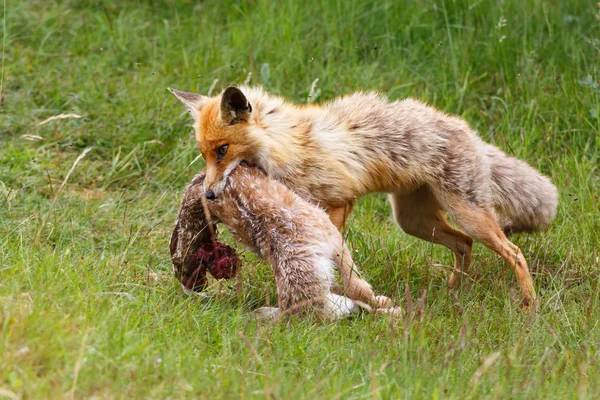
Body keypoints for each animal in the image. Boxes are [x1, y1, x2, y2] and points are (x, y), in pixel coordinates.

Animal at [168, 86, 556, 306]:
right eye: (204, 154)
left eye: (222, 150)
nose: (209, 193)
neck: (286, 147)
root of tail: (468, 130)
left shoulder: (337, 202)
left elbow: (338, 256)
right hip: (415, 222)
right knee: (463, 244)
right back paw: (454, 290)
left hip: (467, 215)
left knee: (514, 252)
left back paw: (530, 304)